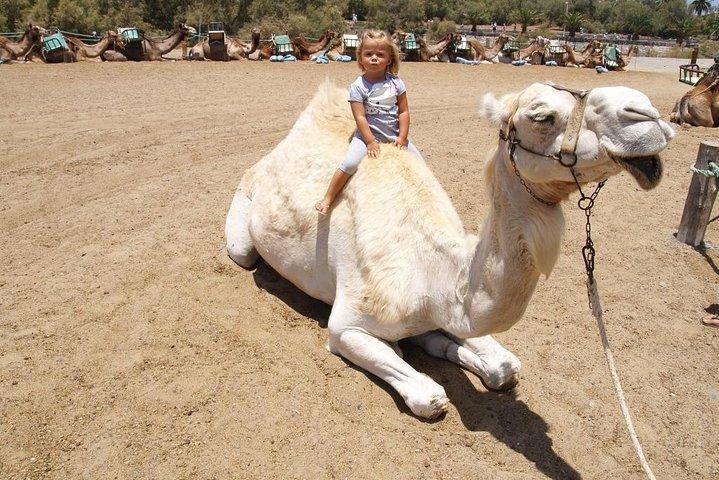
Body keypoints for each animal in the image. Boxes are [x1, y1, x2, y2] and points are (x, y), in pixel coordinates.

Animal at [224, 80, 675, 418]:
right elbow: (431, 396)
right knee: (244, 252)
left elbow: (503, 366)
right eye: (542, 116)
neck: (434, 273)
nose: (647, 116)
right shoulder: (346, 325)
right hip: (242, 226)